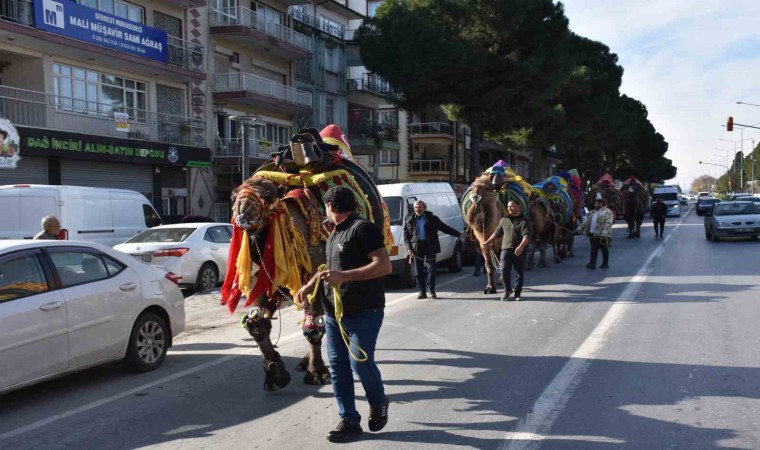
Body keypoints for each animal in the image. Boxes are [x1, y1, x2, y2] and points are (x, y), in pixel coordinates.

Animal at [217, 124, 388, 390]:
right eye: (235, 195)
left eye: (268, 195)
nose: (243, 212)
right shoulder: (265, 280)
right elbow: (258, 323)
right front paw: (275, 372)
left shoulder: (314, 276)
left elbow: (313, 325)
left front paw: (317, 372)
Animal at [460, 161, 532, 296]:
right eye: (474, 187)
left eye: (486, 188)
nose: (475, 196)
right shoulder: (484, 244)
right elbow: (489, 265)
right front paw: (489, 288)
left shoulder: (501, 242)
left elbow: (503, 262)